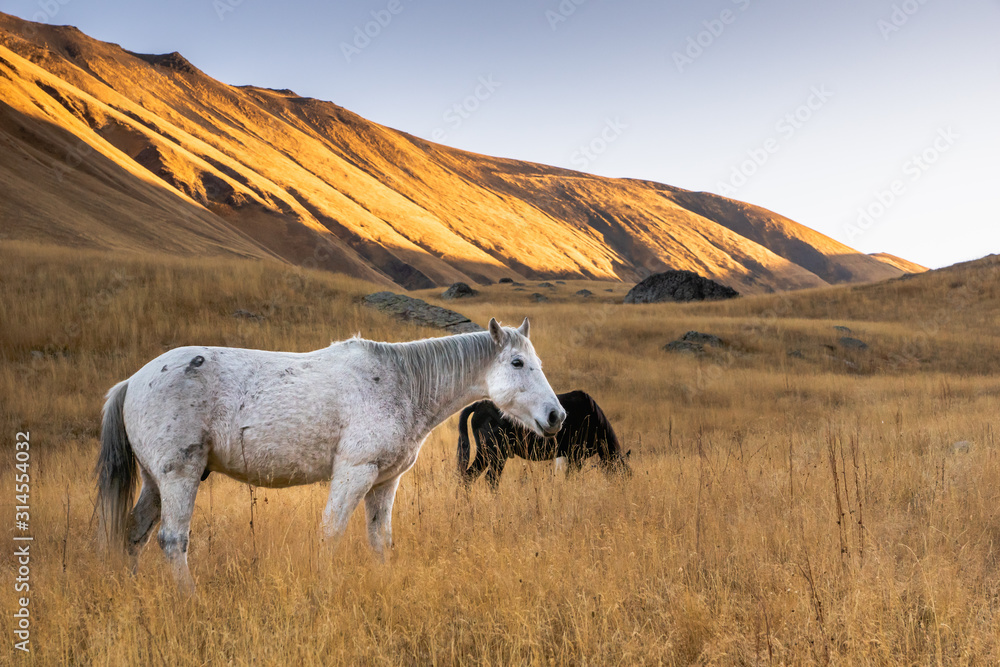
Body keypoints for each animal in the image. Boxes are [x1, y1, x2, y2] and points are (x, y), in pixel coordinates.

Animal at [96, 317, 565, 592]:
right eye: (518, 363)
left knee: (134, 533)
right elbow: (331, 533)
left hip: (156, 482)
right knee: (172, 540)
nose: (556, 415)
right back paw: (188, 598)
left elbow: (380, 539)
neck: (401, 382)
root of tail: (133, 381)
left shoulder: (385, 481)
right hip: (180, 476)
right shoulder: (354, 474)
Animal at [456, 390, 631, 488]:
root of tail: (479, 404)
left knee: (470, 477)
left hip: (488, 454)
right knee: (487, 479)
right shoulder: (576, 456)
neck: (593, 416)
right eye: (622, 473)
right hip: (495, 453)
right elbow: (571, 479)